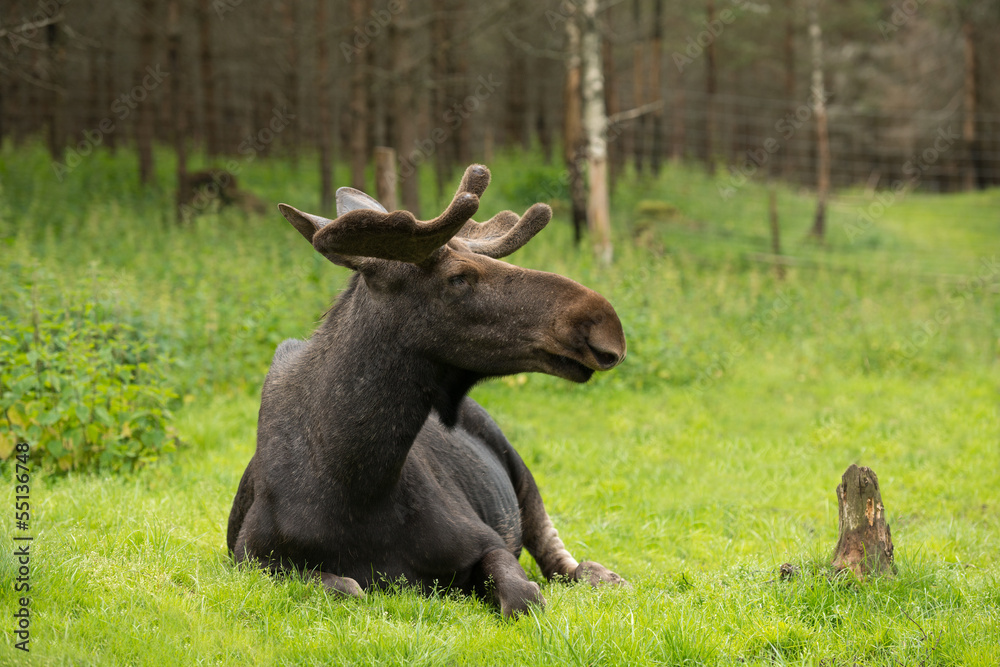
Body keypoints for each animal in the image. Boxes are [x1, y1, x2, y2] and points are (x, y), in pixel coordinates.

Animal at [227, 164, 627, 617]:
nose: (604, 321)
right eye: (459, 278)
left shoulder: (487, 540)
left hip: (518, 468)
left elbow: (524, 597)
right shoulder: (254, 562)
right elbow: (348, 586)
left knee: (558, 556)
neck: (357, 480)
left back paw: (603, 575)